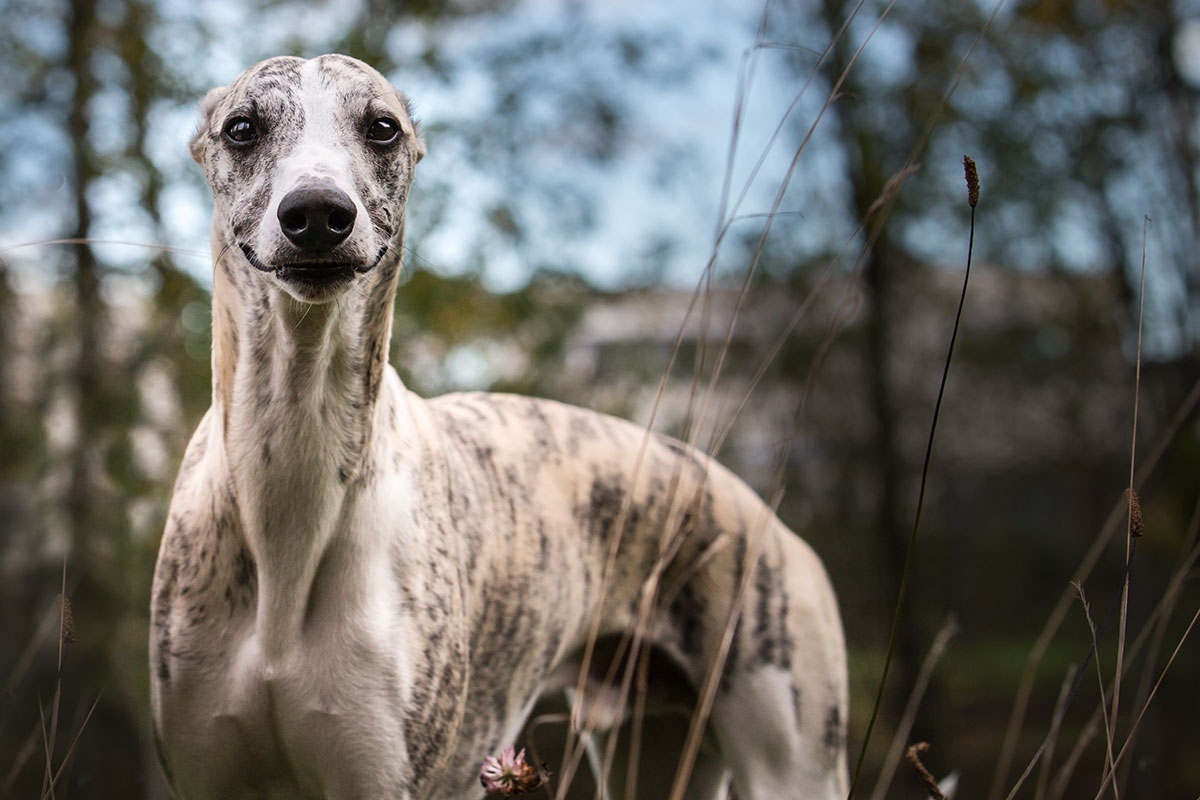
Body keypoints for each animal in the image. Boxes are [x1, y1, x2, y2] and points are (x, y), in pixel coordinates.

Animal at [150, 56, 849, 800]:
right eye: (242, 127)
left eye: (382, 127)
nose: (316, 213)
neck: (291, 490)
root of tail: (762, 514)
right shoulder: (207, 772)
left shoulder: (384, 777)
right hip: (654, 750)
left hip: (791, 756)